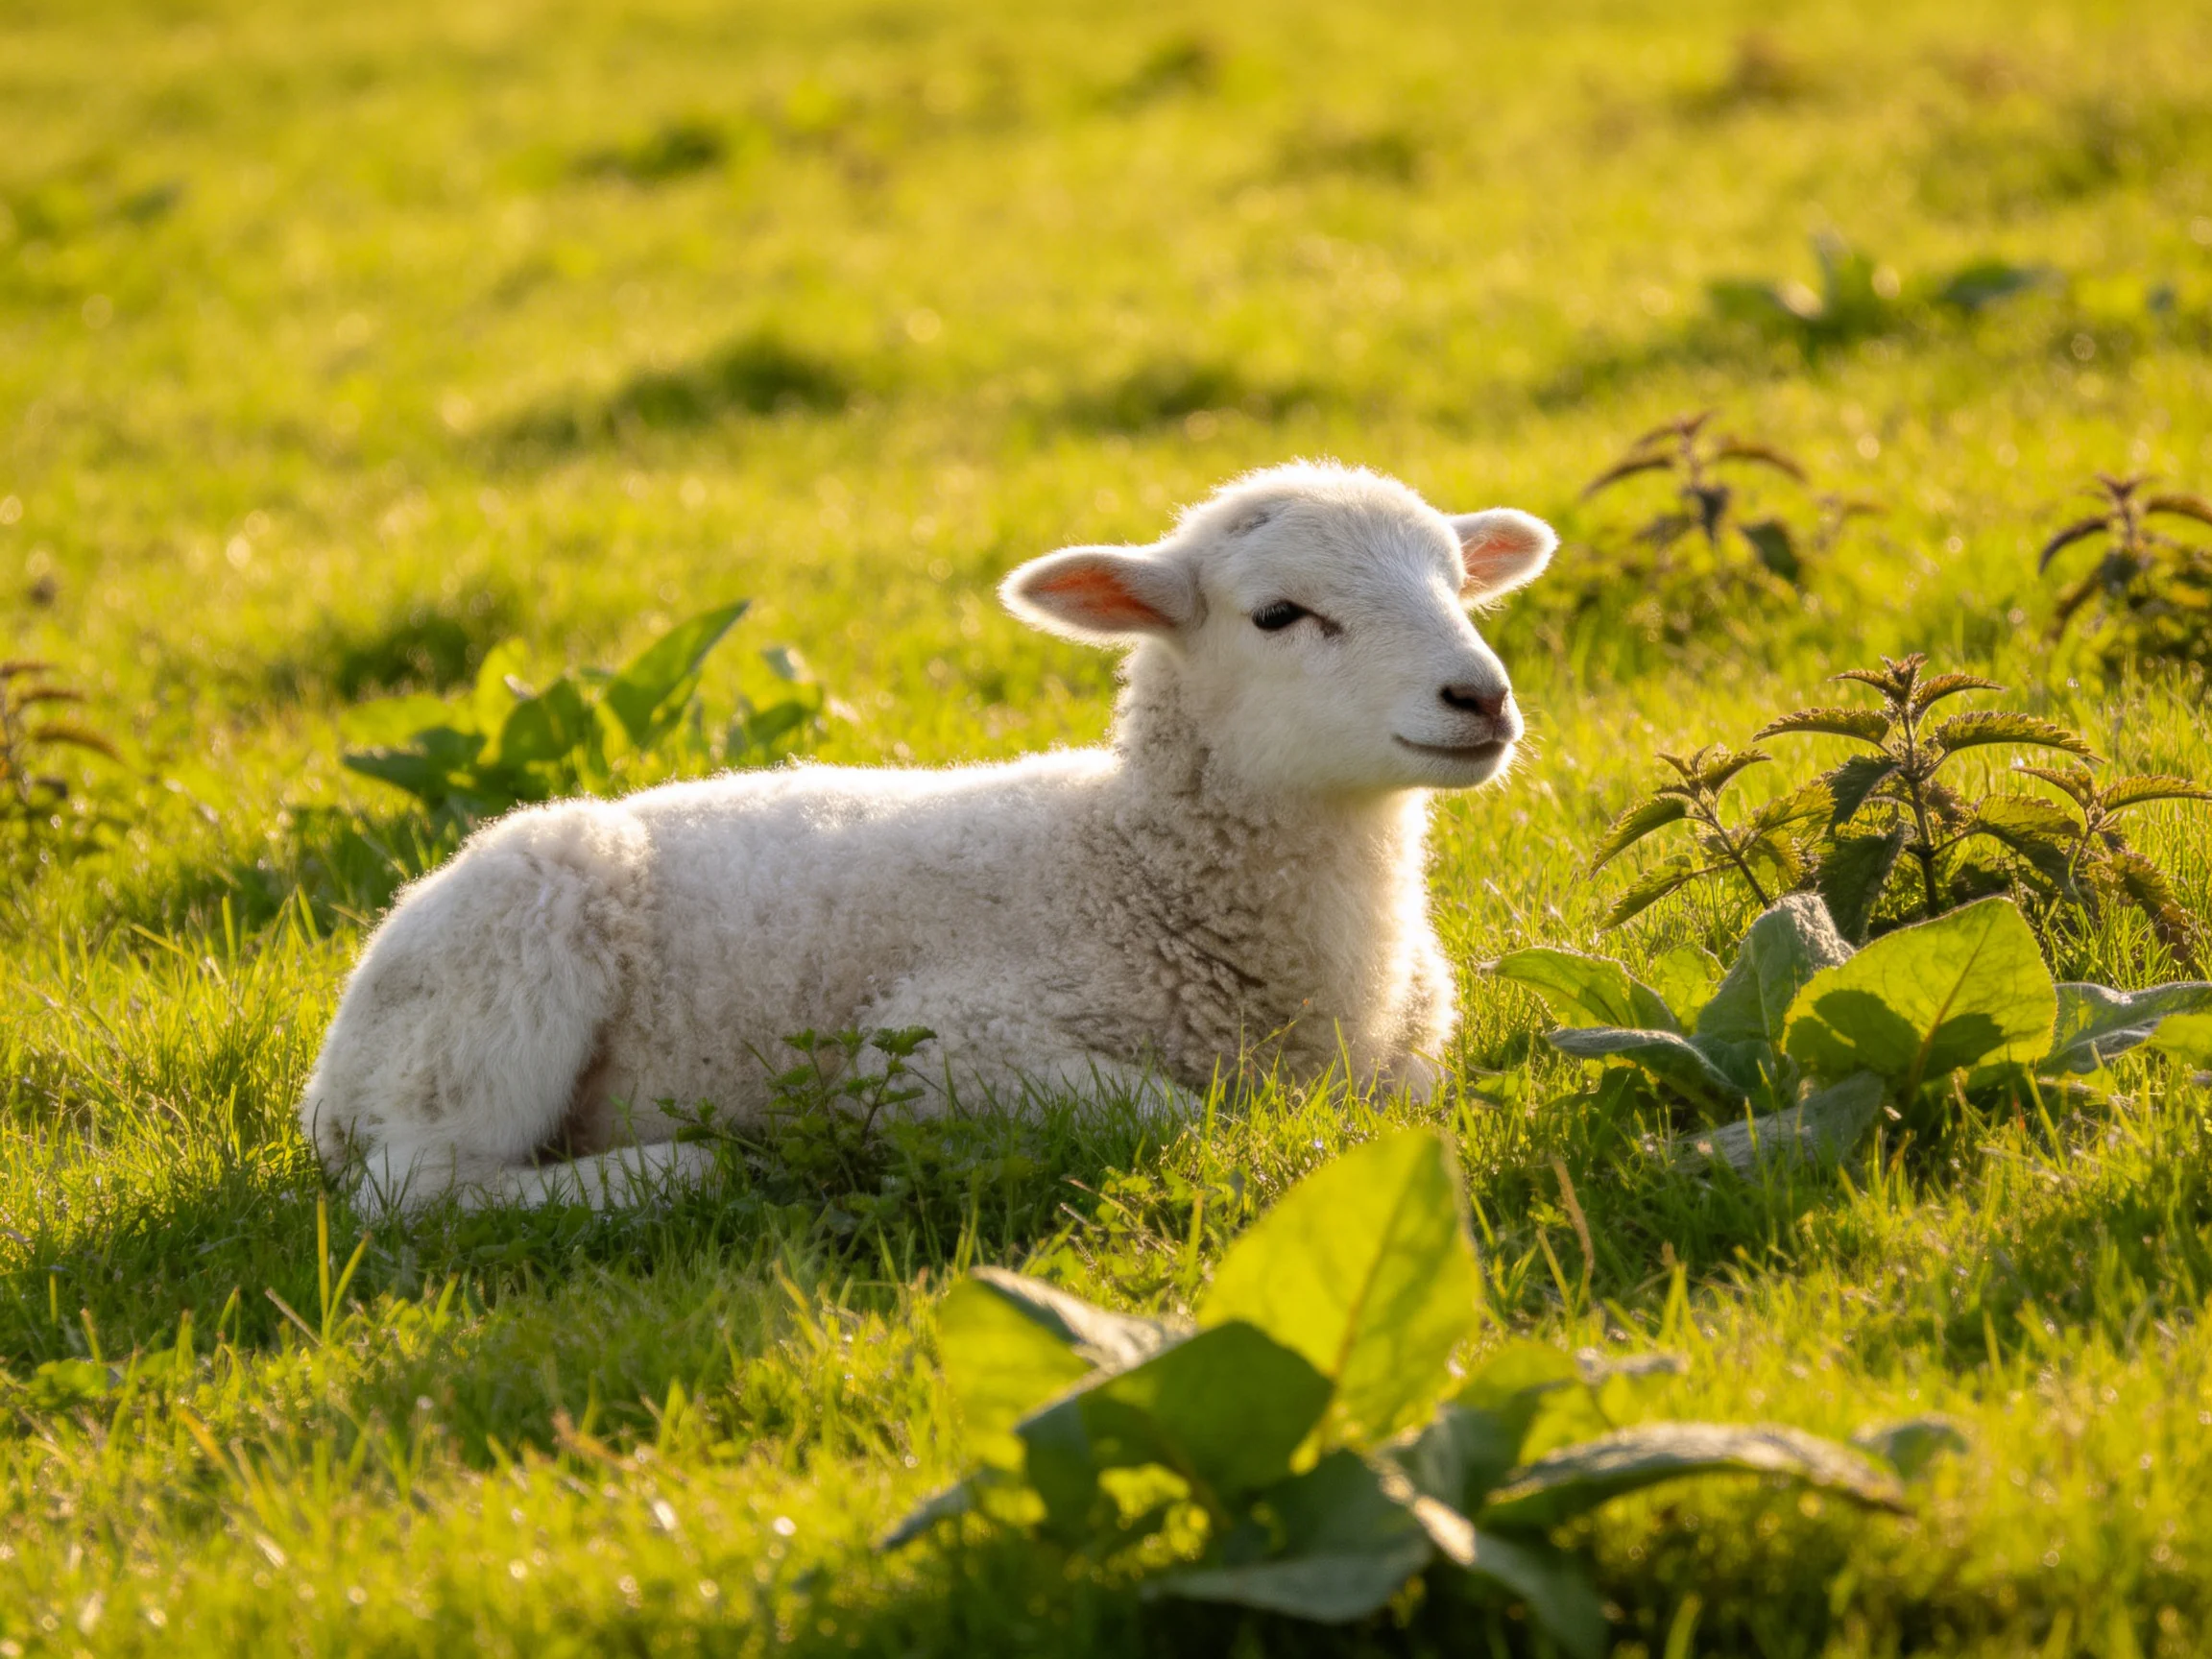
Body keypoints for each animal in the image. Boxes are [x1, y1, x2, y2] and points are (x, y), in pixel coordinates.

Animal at [300, 461, 1555, 1212]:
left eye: (1459, 584)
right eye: (1281, 614)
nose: (1481, 697)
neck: (1137, 866)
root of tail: (331, 1069)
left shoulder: (1405, 1064)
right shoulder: (936, 1041)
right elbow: (1180, 1115)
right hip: (504, 967)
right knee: (415, 1188)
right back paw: (678, 1171)